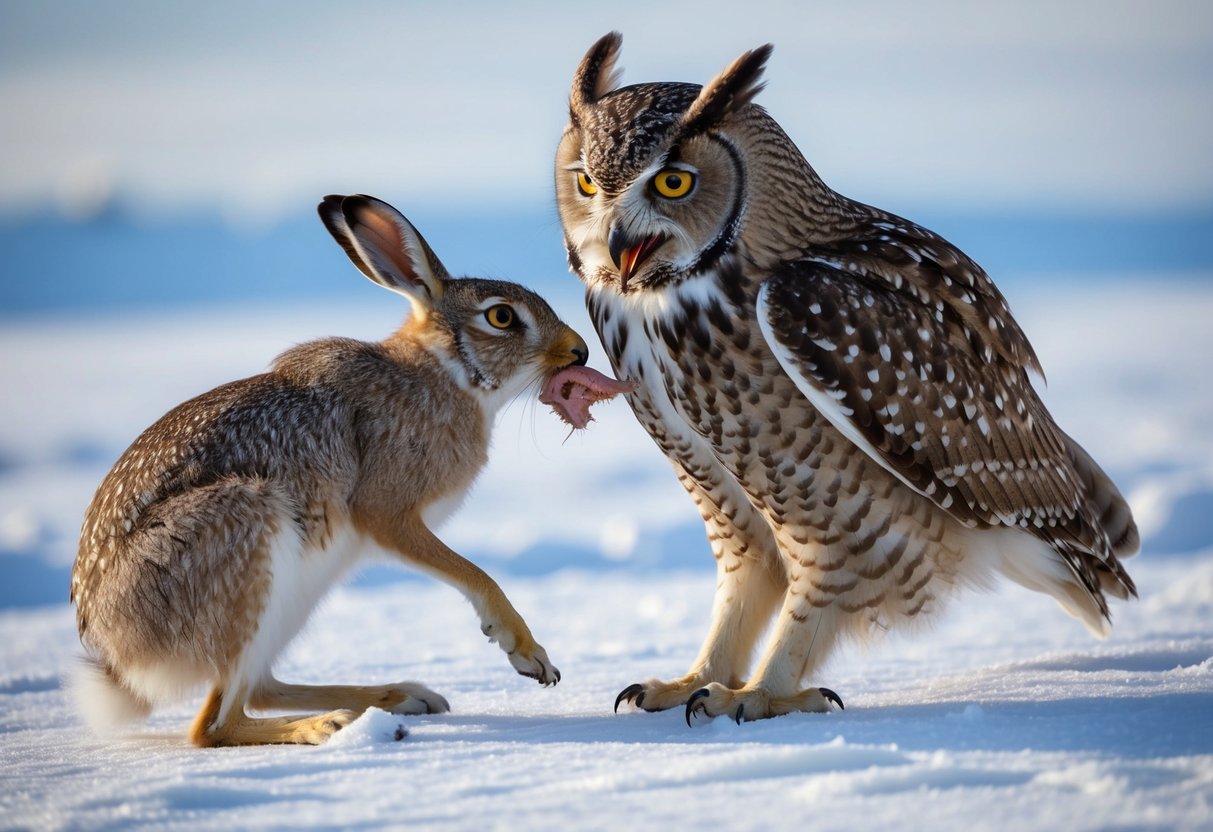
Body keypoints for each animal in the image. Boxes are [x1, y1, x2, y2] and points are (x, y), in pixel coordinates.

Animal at [69, 194, 589, 747]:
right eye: (502, 317)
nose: (580, 351)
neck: (443, 373)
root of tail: (120, 658)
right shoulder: (388, 513)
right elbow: (475, 574)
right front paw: (527, 652)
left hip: (289, 599)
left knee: (259, 688)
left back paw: (399, 697)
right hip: (244, 535)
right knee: (213, 725)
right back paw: (326, 724)